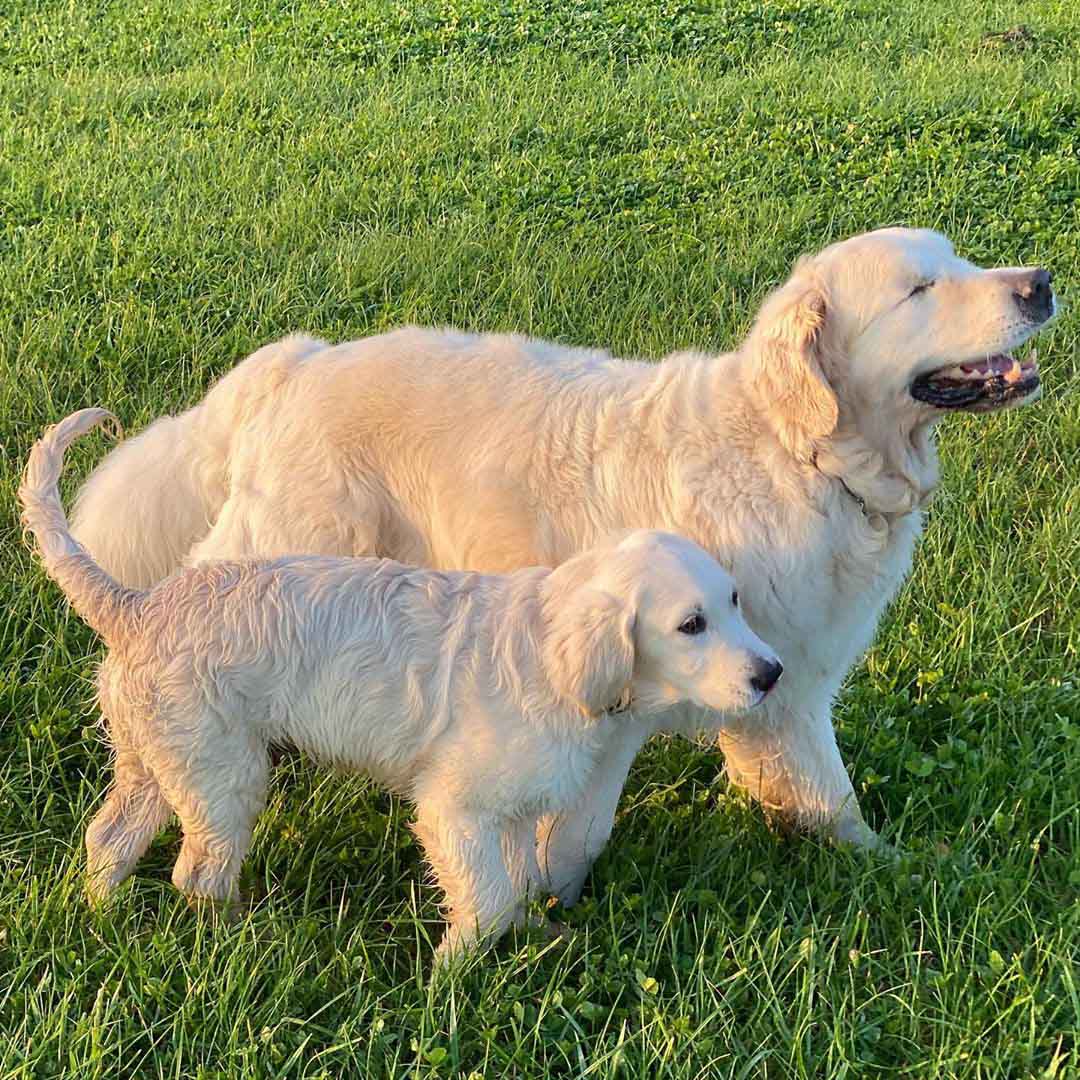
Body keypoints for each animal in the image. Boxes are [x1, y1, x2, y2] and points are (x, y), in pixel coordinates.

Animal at [19, 408, 777, 959]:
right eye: (691, 624)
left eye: (736, 601)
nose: (772, 675)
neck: (551, 654)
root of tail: (136, 606)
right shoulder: (457, 808)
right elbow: (488, 898)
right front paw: (454, 976)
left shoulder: (512, 810)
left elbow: (518, 882)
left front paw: (538, 939)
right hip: (221, 768)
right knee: (196, 873)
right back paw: (239, 937)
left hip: (160, 755)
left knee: (109, 836)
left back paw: (104, 915)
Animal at [67, 225, 1054, 902]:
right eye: (921, 288)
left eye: (959, 258)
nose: (1042, 283)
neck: (798, 455)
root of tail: (294, 361)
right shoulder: (618, 704)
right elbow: (579, 827)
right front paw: (542, 908)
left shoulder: (795, 688)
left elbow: (832, 799)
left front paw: (899, 871)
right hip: (277, 560)